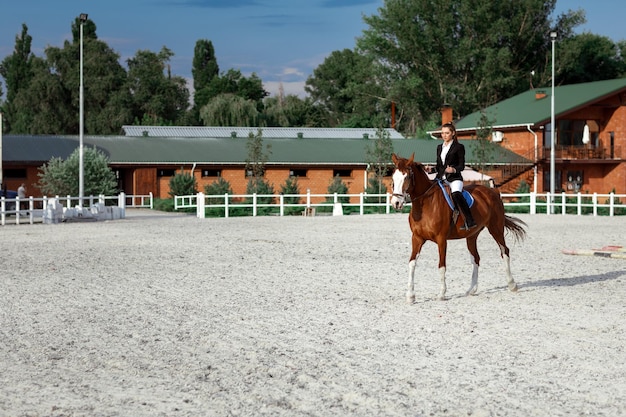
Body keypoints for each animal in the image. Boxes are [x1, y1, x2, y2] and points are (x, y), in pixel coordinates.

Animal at [388, 153, 524, 302]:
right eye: (393, 177)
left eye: (406, 177)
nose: (396, 203)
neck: (425, 204)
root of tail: (493, 191)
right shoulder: (417, 238)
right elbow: (412, 263)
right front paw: (410, 295)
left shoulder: (441, 240)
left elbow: (441, 265)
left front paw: (442, 293)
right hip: (472, 236)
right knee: (476, 258)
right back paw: (471, 290)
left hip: (496, 229)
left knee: (504, 251)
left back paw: (512, 284)